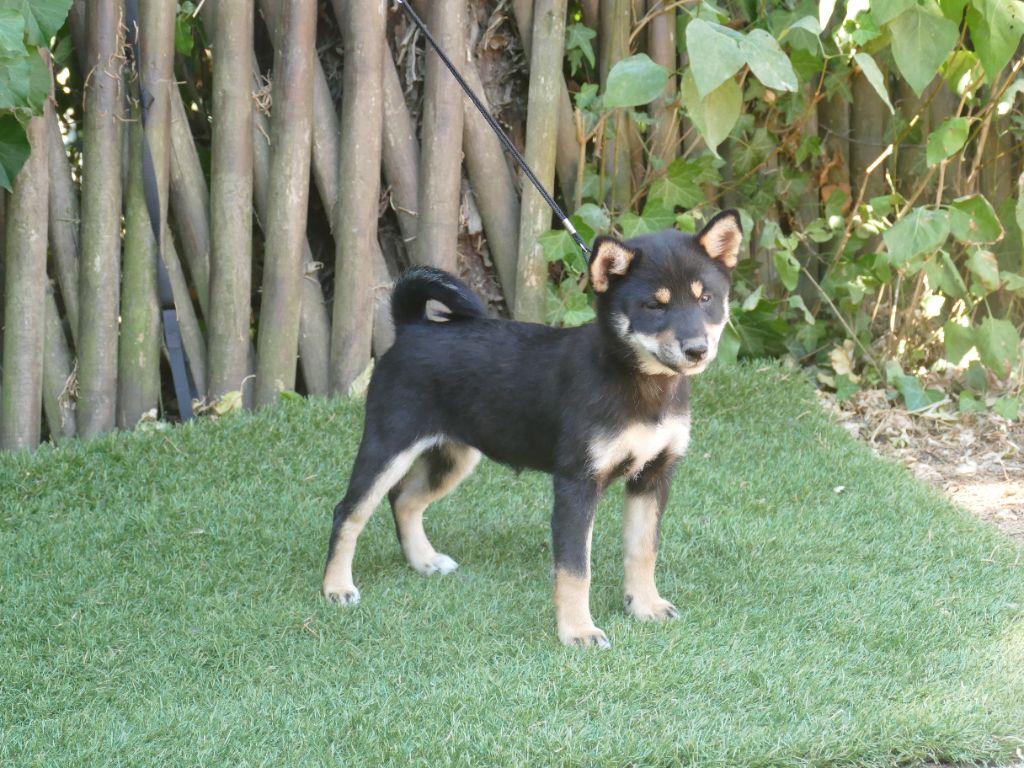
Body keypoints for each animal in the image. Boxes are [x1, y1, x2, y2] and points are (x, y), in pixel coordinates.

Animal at [322, 211, 742, 648]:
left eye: (706, 299)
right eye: (654, 306)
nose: (697, 350)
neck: (641, 384)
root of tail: (412, 327)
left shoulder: (654, 476)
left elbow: (643, 550)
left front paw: (645, 606)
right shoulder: (576, 482)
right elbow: (575, 568)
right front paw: (578, 631)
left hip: (455, 455)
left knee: (404, 500)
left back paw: (424, 561)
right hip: (388, 445)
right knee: (348, 512)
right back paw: (336, 587)